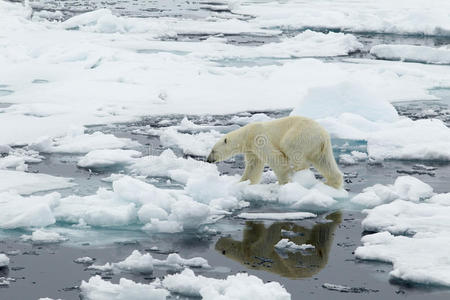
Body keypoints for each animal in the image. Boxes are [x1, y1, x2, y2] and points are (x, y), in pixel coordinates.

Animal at [206, 115, 342, 188]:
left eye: (213, 150)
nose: (208, 160)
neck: (247, 135)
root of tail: (322, 135)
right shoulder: (251, 150)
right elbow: (253, 166)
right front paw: (242, 183)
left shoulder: (259, 139)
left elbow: (276, 157)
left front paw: (283, 183)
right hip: (320, 147)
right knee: (325, 162)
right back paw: (332, 183)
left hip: (300, 135)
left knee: (292, 149)